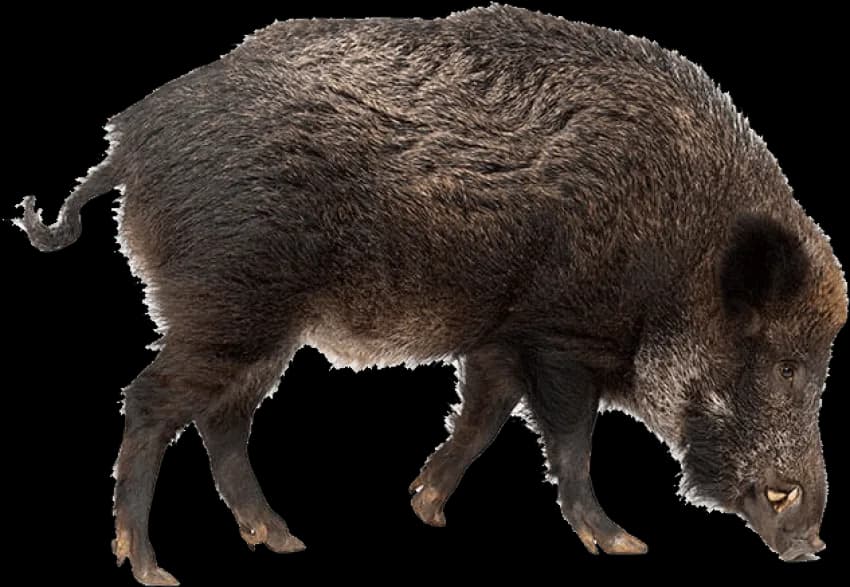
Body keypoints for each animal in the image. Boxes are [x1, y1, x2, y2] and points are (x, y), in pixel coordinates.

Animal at [14, 5, 847, 585]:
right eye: (786, 365)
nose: (811, 540)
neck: (681, 252)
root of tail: (127, 145)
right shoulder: (560, 336)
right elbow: (569, 440)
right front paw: (623, 543)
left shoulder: (501, 339)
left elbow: (481, 420)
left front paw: (424, 505)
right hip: (228, 303)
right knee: (153, 402)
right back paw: (153, 569)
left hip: (261, 325)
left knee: (223, 420)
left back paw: (284, 540)